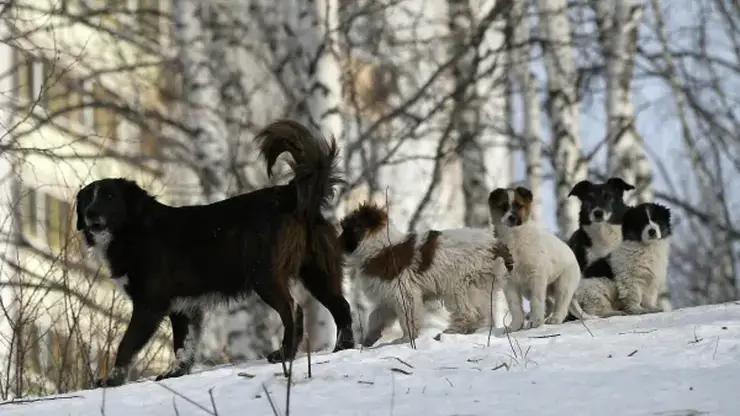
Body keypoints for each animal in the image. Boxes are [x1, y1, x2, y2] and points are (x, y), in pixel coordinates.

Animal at [79, 118, 356, 388]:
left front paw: (111, 380)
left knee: (294, 309)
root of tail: (289, 193)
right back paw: (344, 346)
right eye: (87, 199)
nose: (90, 214)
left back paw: (285, 353)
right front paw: (175, 372)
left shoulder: (150, 304)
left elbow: (127, 344)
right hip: (318, 273)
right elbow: (184, 345)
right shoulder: (183, 307)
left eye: (110, 196)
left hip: (264, 274)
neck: (133, 231)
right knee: (341, 306)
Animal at [338, 203, 512, 346]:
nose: (337, 242)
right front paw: (370, 338)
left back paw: (451, 331)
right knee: (481, 313)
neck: (380, 247)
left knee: (468, 312)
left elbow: (408, 317)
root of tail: (495, 246)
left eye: (346, 228)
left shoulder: (403, 293)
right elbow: (376, 316)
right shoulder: (388, 297)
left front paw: (406, 339)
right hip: (481, 286)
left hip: (460, 284)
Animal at [486, 186, 596, 332]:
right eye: (503, 207)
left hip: (563, 284)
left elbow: (536, 301)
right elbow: (515, 306)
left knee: (561, 304)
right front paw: (515, 326)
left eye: (519, 206)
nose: (512, 218)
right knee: (548, 303)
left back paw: (555, 319)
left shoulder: (536, 276)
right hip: (529, 289)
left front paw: (535, 322)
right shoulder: (509, 281)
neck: (514, 237)